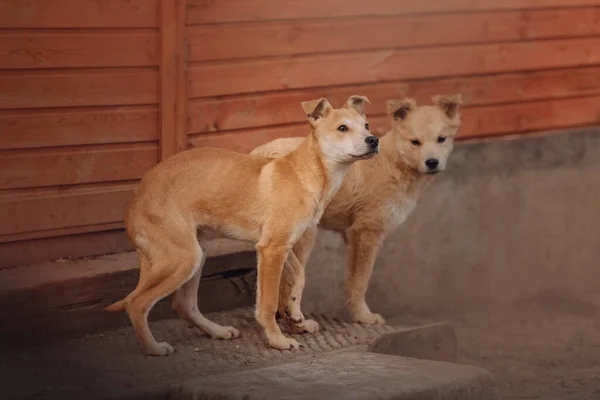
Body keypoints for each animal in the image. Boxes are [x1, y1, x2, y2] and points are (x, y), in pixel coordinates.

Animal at [102, 96, 376, 356]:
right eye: (342, 128)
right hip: (183, 259)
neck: (305, 173)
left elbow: (298, 275)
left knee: (183, 305)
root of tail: (137, 196)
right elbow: (267, 303)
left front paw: (296, 314)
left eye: (366, 125)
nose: (373, 140)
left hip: (197, 254)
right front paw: (277, 340)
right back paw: (153, 348)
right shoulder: (272, 249)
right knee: (136, 303)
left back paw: (217, 331)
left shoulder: (279, 246)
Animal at [251, 94, 462, 328]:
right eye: (414, 142)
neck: (392, 163)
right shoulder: (366, 232)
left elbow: (352, 278)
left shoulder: (351, 235)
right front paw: (364, 317)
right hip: (303, 235)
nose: (432, 162)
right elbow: (361, 280)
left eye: (442, 139)